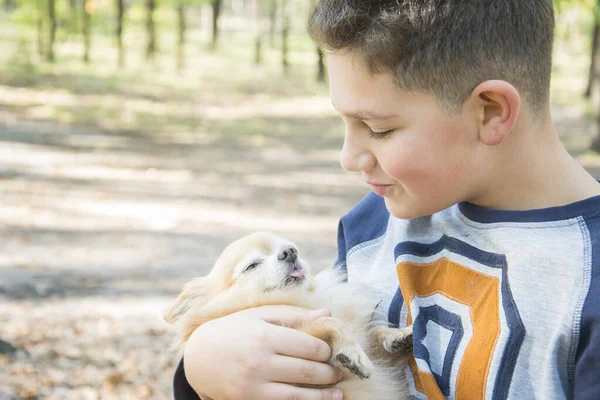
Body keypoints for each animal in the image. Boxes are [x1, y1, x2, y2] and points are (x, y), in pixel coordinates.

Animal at [166, 231, 414, 400]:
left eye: (292, 248)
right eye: (252, 266)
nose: (290, 252)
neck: (302, 297)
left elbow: (374, 332)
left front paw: (397, 335)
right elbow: (328, 321)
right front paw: (353, 353)